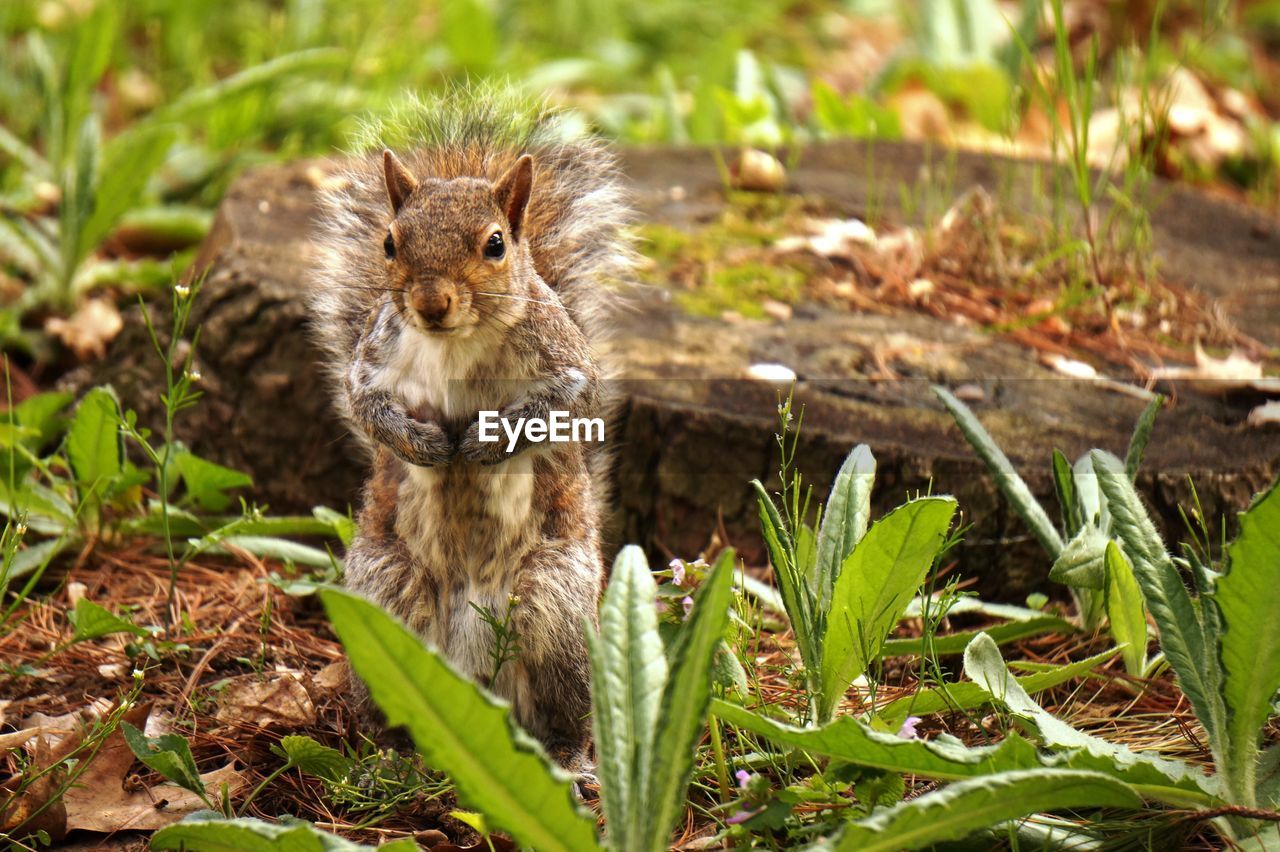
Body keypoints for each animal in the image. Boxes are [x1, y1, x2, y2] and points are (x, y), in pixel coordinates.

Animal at [305, 99, 634, 767]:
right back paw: (385, 757)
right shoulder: (372, 362)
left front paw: (487, 441)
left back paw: (573, 760)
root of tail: (472, 672)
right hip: (384, 594)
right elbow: (367, 406)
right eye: (389, 242)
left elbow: (565, 403)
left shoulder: (566, 365)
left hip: (555, 604)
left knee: (565, 710)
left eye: (496, 244)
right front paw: (424, 445)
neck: (455, 342)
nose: (431, 303)